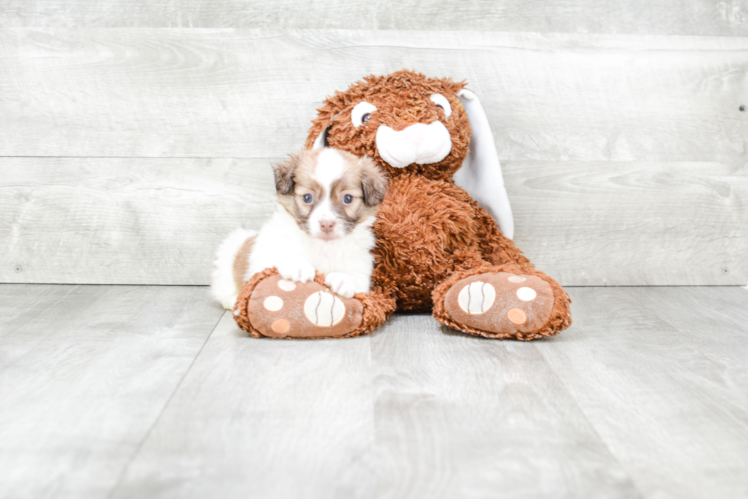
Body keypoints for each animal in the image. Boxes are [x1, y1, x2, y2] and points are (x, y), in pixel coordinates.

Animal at [210, 147, 386, 308]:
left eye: (348, 198)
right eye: (307, 197)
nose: (326, 224)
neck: (322, 246)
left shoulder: (361, 269)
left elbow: (355, 278)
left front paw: (343, 279)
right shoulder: (263, 256)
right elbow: (279, 255)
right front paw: (297, 265)